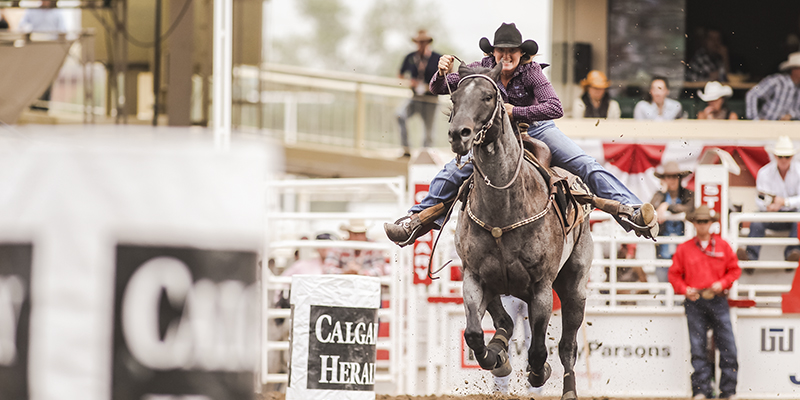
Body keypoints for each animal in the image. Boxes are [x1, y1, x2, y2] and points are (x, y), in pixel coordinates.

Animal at [450, 63, 592, 400]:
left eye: (488, 96)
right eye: (453, 98)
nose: (458, 134)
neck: (503, 210)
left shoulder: (541, 287)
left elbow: (539, 350)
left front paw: (540, 373)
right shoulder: (473, 276)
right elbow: (473, 333)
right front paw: (495, 357)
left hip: (575, 286)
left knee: (568, 346)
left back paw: (568, 388)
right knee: (504, 322)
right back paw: (500, 350)